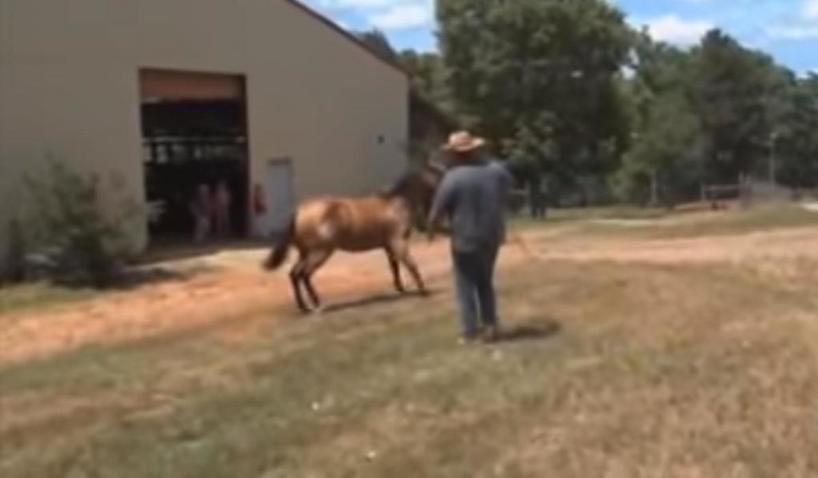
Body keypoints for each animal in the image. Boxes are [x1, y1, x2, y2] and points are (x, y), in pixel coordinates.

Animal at [262, 164, 444, 314]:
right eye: (438, 178)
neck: (395, 204)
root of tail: (300, 210)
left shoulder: (388, 246)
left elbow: (394, 267)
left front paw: (400, 288)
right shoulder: (398, 242)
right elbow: (411, 264)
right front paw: (423, 290)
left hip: (305, 252)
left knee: (294, 274)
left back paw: (304, 307)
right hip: (320, 252)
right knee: (304, 274)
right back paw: (317, 304)